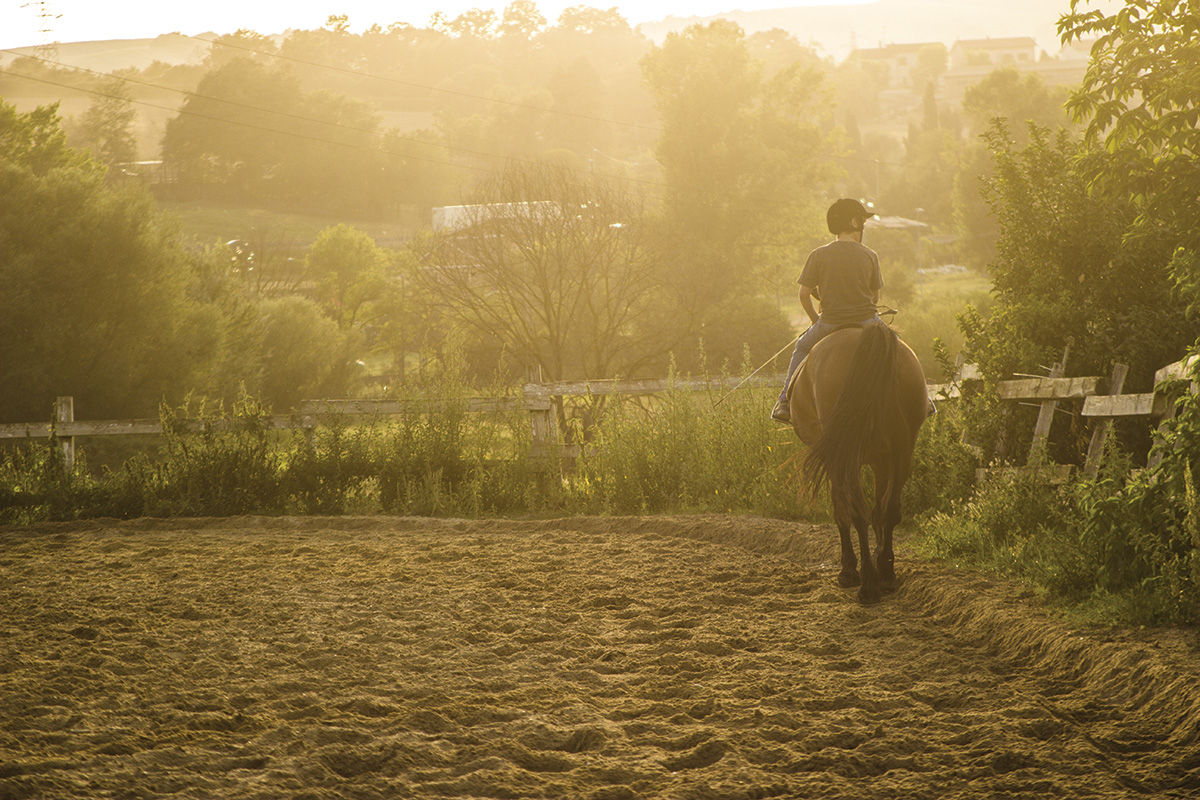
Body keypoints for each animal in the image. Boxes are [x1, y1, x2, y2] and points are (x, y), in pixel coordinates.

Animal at [787, 321, 936, 604]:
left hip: (849, 456)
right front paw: (881, 560)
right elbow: (880, 511)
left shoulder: (836, 459)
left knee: (857, 511)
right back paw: (885, 574)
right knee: (889, 510)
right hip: (902, 450)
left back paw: (867, 584)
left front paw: (848, 570)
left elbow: (842, 511)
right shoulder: (881, 461)